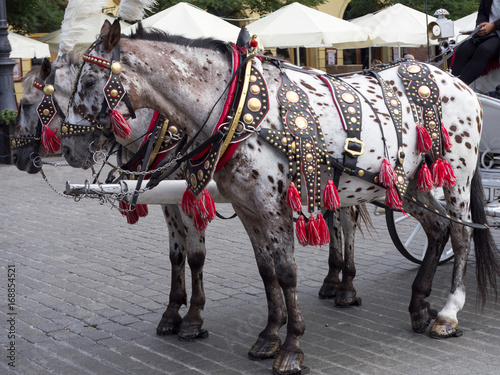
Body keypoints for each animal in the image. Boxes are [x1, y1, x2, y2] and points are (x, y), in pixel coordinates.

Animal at [61, 20, 500, 375]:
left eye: (88, 82)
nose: (67, 149)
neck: (237, 107)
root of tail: (451, 78)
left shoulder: (274, 207)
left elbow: (286, 272)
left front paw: (292, 347)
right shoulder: (247, 207)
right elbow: (266, 272)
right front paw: (270, 335)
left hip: (457, 174)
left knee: (461, 235)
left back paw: (447, 313)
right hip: (409, 184)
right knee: (437, 228)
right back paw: (419, 307)